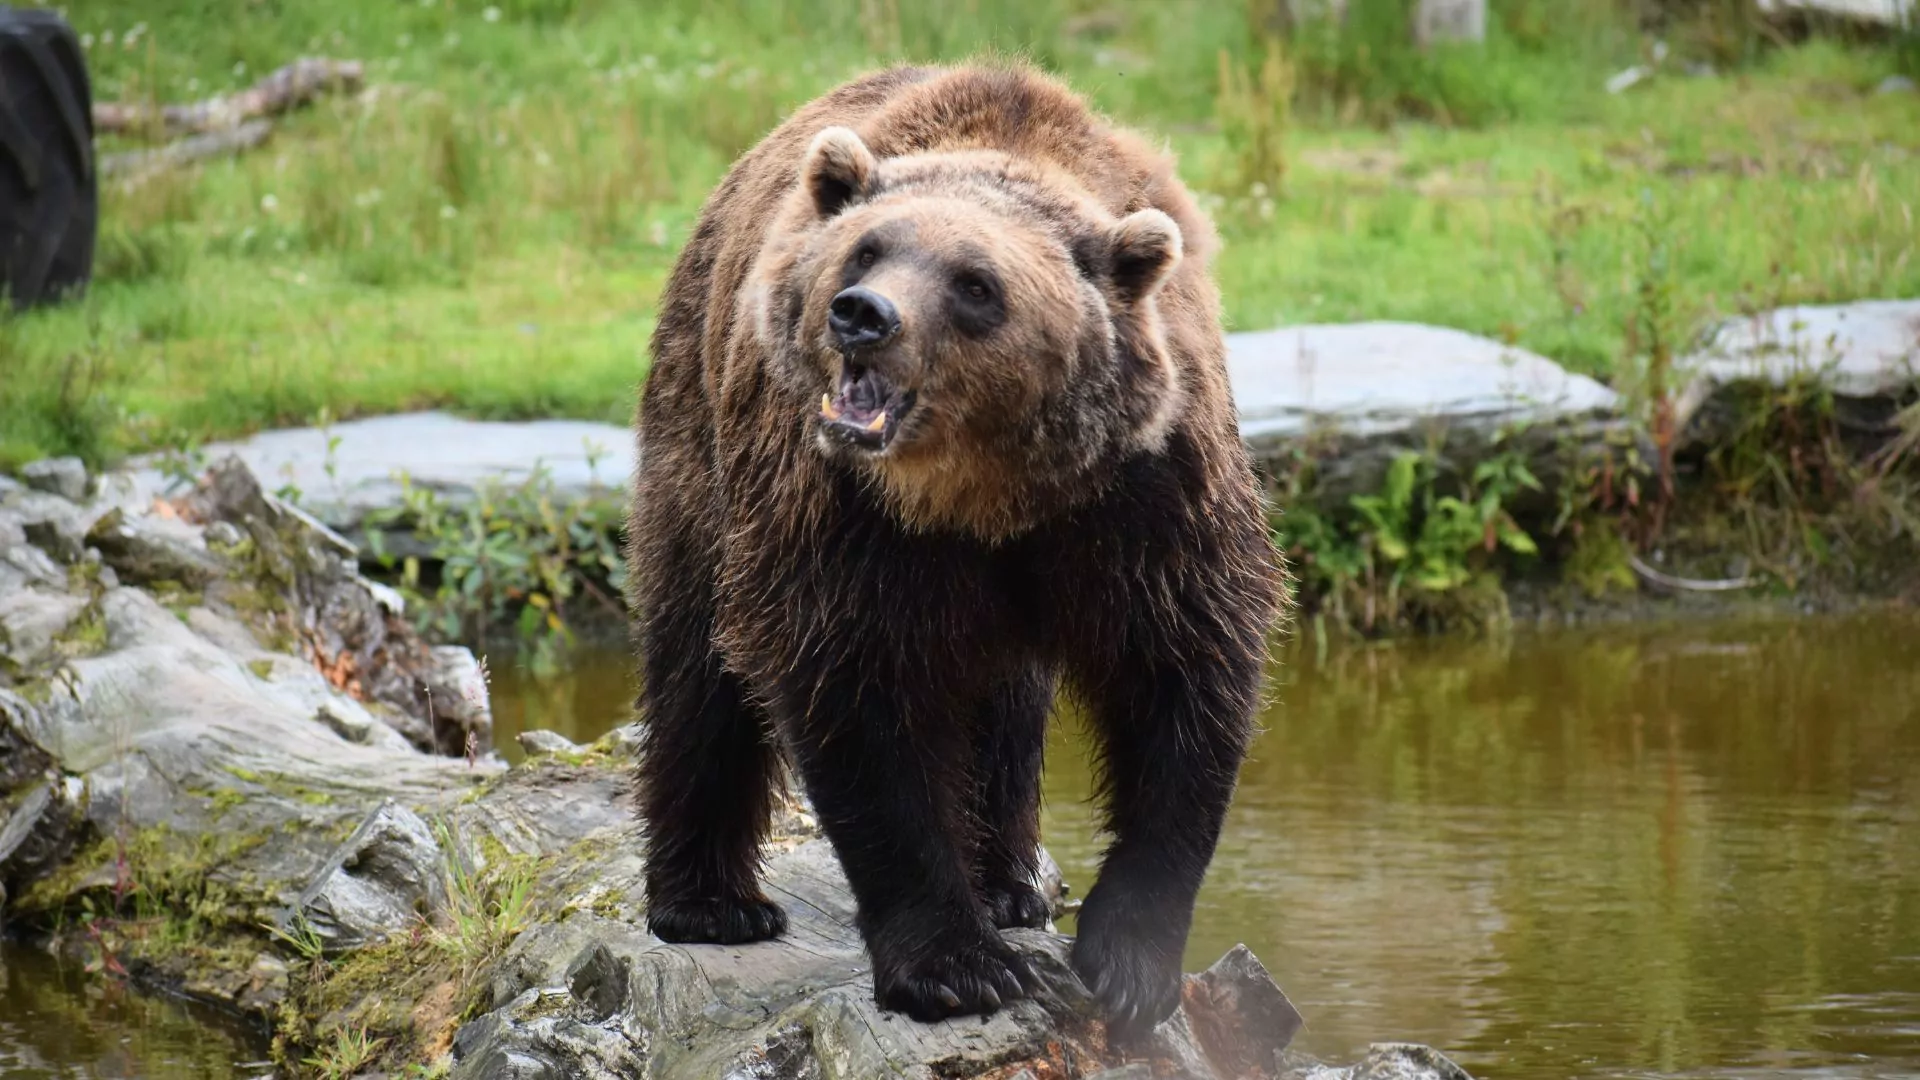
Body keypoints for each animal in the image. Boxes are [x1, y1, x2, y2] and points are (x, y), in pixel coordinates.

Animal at [627, 61, 1286, 1040]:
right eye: (866, 251)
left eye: (977, 284)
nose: (862, 315)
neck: (985, 491)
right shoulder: (841, 516)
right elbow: (864, 703)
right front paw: (955, 967)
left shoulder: (1148, 502)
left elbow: (1183, 679)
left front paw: (1131, 964)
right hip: (699, 444)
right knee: (697, 663)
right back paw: (711, 902)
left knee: (1006, 708)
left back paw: (1012, 884)